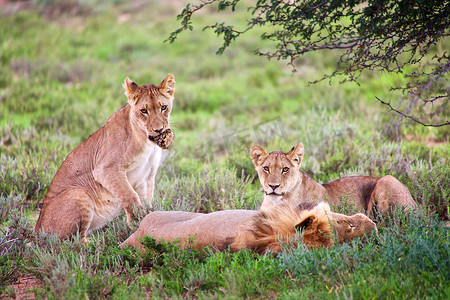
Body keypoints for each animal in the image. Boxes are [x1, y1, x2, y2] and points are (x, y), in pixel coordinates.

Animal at [35, 74, 176, 243]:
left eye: (163, 107)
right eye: (144, 111)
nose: (159, 130)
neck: (146, 142)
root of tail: (36, 233)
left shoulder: (148, 176)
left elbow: (147, 201)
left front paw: (148, 219)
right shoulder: (106, 169)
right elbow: (130, 196)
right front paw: (137, 222)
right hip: (79, 193)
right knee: (72, 242)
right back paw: (98, 242)